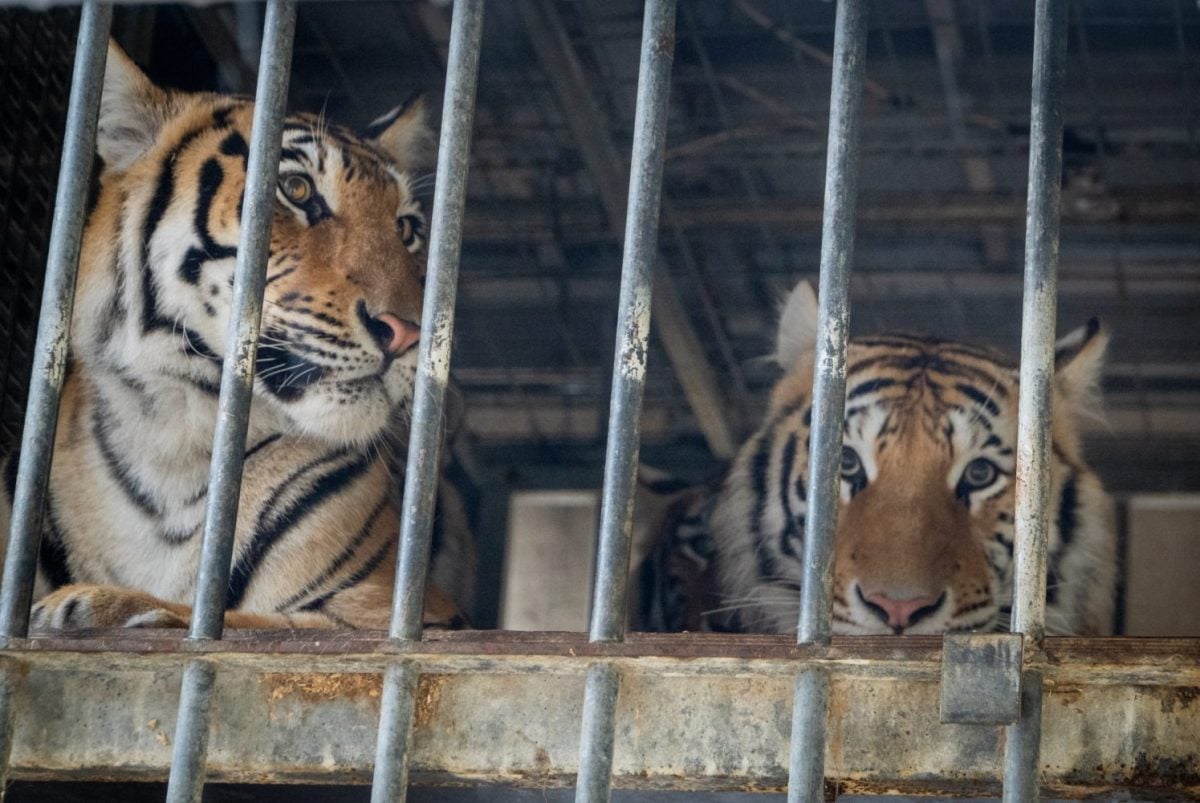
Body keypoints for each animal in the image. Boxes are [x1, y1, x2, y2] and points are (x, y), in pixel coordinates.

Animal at [0, 42, 475, 631]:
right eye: (296, 189)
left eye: (406, 229)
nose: (410, 332)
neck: (172, 442)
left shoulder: (407, 614)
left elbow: (244, 621)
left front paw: (97, 604)